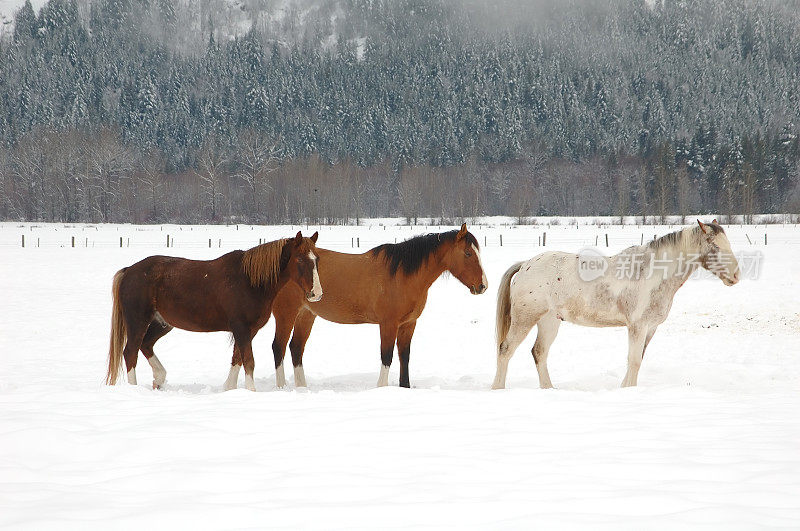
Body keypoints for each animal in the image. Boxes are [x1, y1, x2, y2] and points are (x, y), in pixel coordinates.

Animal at [104, 233, 324, 390]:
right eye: (299, 260)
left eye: (317, 259)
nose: (317, 294)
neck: (249, 280)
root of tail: (129, 270)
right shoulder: (241, 328)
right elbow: (248, 361)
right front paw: (251, 392)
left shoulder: (248, 330)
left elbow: (237, 359)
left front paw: (229, 388)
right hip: (138, 321)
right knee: (130, 352)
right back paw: (134, 389)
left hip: (162, 323)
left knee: (146, 345)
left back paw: (159, 378)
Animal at [270, 222, 488, 388]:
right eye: (468, 253)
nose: (483, 286)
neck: (402, 274)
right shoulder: (388, 324)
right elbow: (387, 356)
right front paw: (381, 387)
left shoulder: (408, 324)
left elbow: (404, 356)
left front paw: (405, 386)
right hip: (286, 314)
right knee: (278, 347)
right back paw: (282, 387)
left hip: (306, 315)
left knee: (296, 348)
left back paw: (302, 388)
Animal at [490, 220, 740, 390]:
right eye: (715, 246)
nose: (736, 276)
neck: (653, 272)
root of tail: (526, 264)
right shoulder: (637, 326)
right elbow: (634, 361)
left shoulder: (650, 328)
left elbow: (637, 360)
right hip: (525, 319)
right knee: (506, 349)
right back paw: (498, 388)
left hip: (549, 321)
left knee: (539, 352)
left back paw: (549, 389)